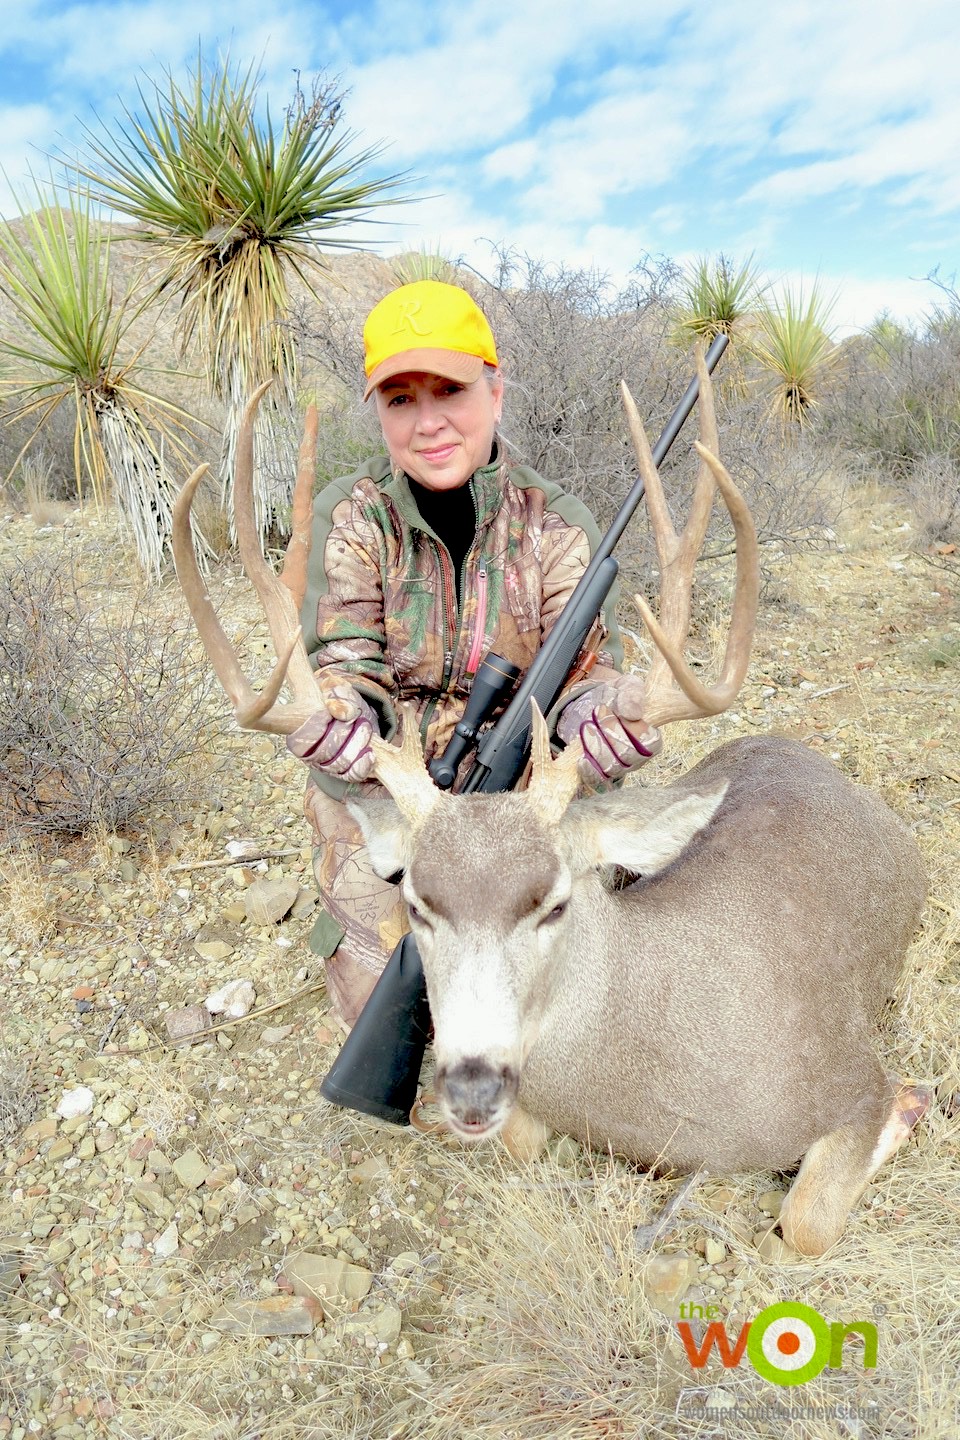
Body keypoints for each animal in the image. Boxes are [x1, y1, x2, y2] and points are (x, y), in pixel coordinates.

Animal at [174, 365, 932, 1255]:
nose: (469, 1088)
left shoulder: (850, 1075)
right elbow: (521, 1144)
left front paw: (914, 1108)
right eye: (416, 904)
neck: (652, 1086)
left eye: (556, 903)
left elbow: (806, 1221)